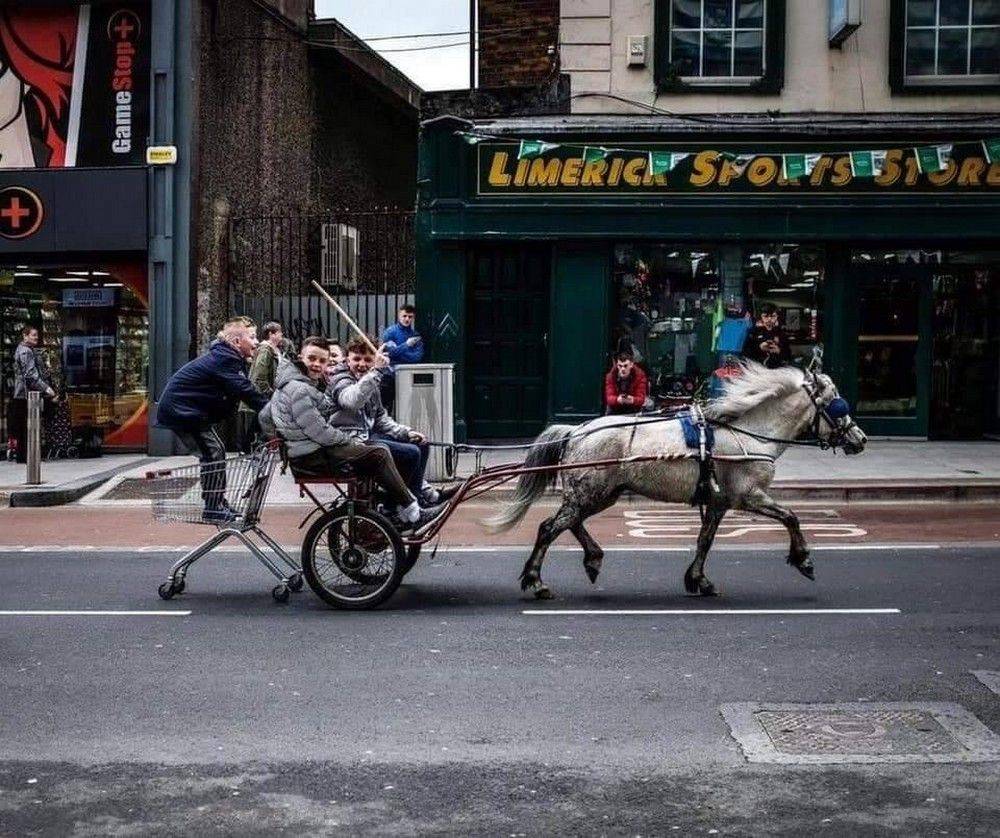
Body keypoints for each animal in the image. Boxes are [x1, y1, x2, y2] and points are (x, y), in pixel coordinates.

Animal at [484, 364, 868, 600]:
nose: (860, 439)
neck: (749, 433)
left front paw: (698, 579)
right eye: (837, 404)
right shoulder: (749, 495)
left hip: (601, 493)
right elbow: (791, 517)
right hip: (590, 492)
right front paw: (803, 559)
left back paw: (592, 558)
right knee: (550, 527)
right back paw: (536, 580)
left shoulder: (719, 502)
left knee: (571, 522)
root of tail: (577, 429)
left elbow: (705, 540)